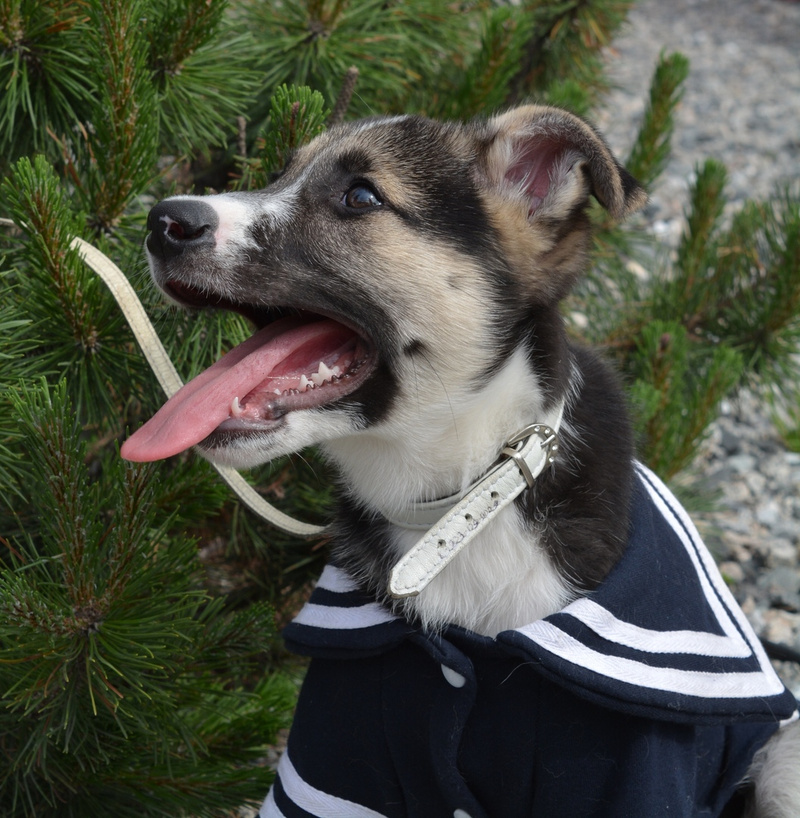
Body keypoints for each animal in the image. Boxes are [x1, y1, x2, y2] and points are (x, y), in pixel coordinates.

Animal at [122, 105, 800, 817]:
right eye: (278, 174)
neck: (460, 513)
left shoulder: (625, 773)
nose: (162, 220)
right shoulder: (333, 764)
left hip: (784, 764)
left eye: (360, 196)